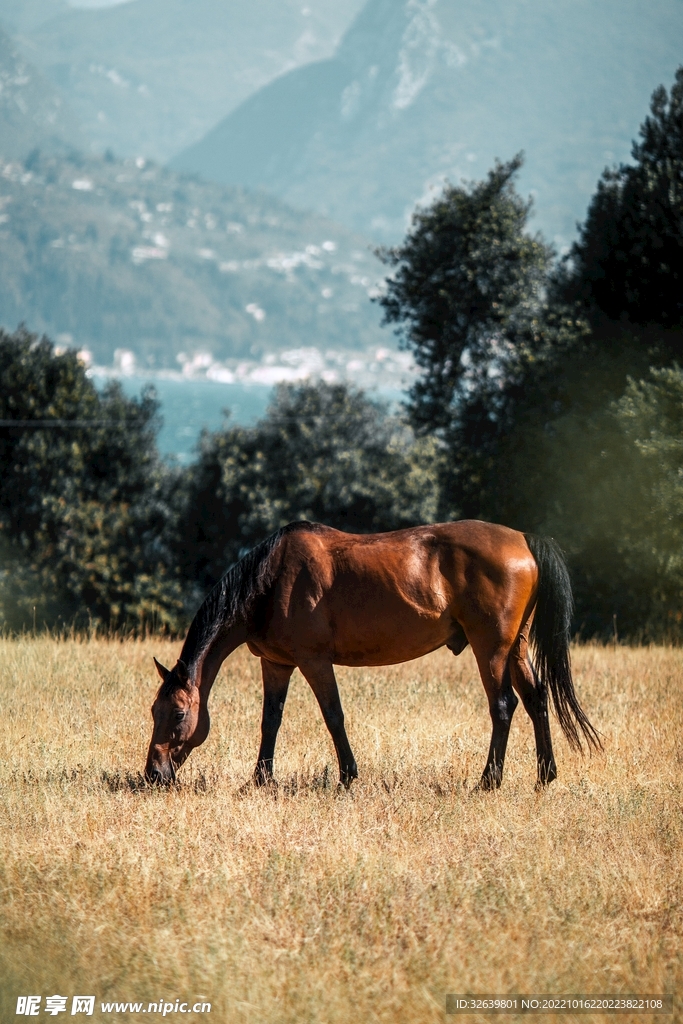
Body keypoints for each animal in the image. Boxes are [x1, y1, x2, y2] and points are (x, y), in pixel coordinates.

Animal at [145, 520, 601, 792]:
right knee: (537, 699)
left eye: (180, 713)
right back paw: (545, 776)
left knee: (503, 705)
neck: (272, 580)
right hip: (516, 647)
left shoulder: (313, 661)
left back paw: (488, 781)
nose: (153, 774)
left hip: (491, 648)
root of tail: (523, 539)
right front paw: (259, 780)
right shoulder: (276, 663)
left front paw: (348, 776)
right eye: (154, 711)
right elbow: (270, 720)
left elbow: (333, 716)